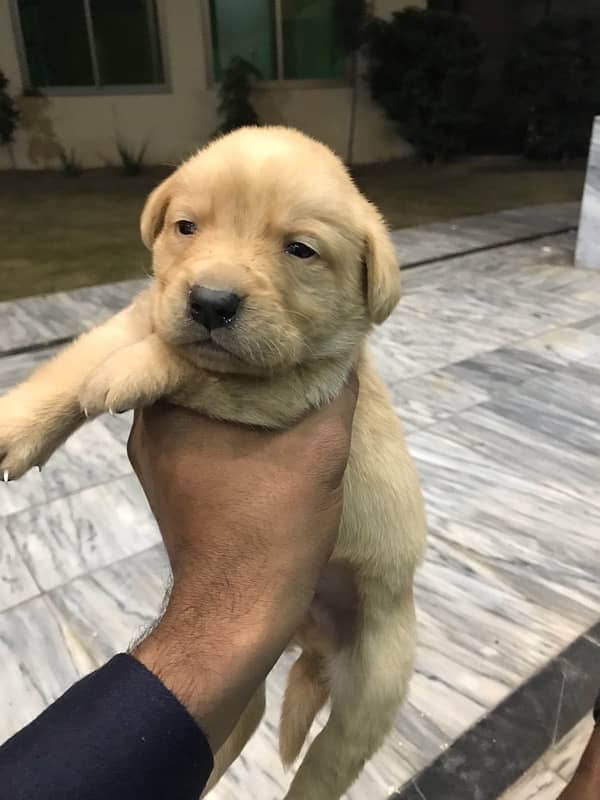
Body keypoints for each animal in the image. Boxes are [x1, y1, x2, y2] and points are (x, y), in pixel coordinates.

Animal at [0, 126, 426, 800]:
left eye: (300, 250)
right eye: (186, 227)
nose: (211, 302)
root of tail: (313, 643)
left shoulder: (295, 384)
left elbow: (196, 364)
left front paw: (127, 373)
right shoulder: (144, 310)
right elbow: (75, 365)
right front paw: (16, 427)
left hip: (372, 684)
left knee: (324, 764)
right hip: (242, 682)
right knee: (232, 726)